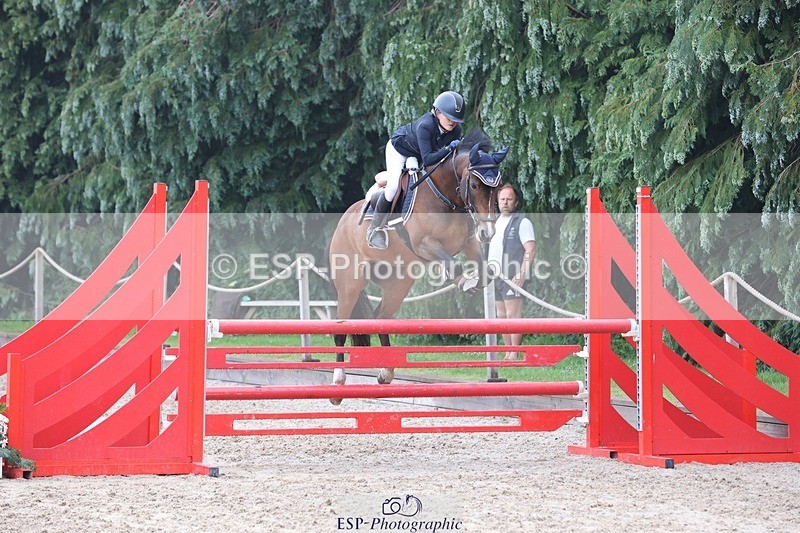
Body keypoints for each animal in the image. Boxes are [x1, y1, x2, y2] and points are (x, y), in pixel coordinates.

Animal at [326, 129, 509, 403]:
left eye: (496, 186)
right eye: (475, 185)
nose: (488, 233)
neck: (448, 198)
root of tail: (342, 222)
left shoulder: (468, 243)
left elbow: (484, 270)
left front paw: (474, 282)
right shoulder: (424, 244)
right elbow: (453, 265)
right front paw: (463, 281)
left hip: (398, 283)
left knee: (381, 318)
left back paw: (386, 373)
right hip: (350, 283)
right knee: (341, 327)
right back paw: (337, 384)